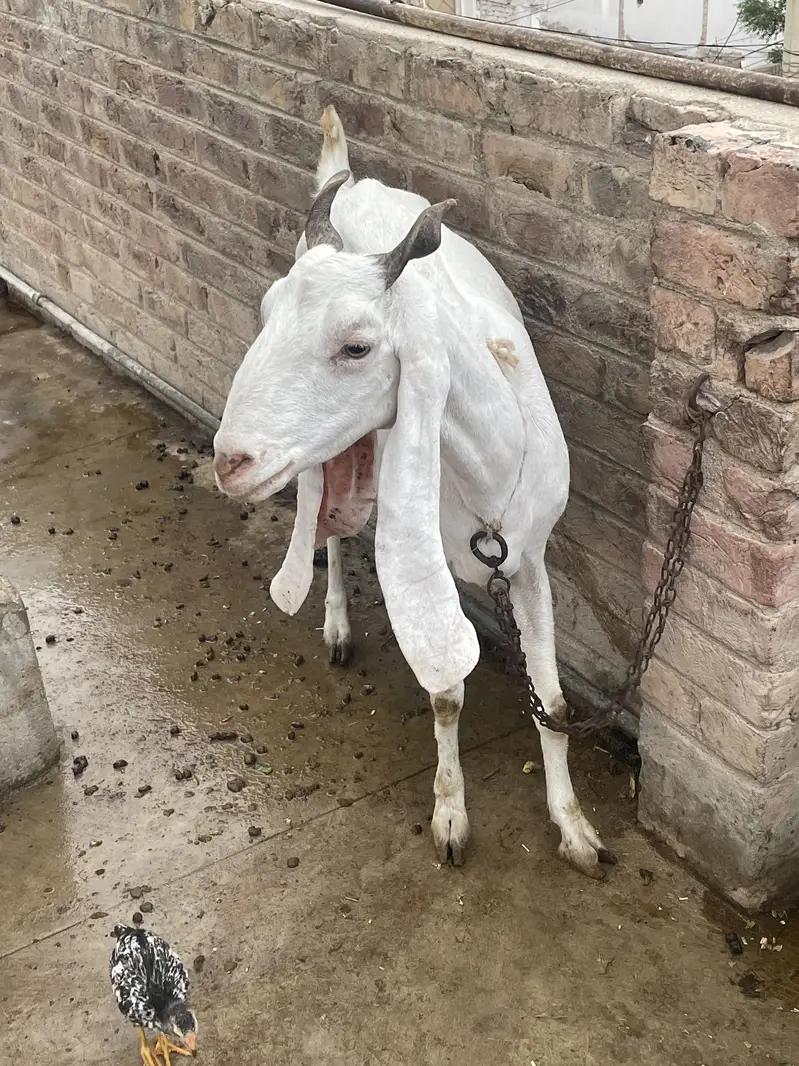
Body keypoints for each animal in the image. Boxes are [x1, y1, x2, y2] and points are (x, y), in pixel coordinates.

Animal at [213, 106, 615, 877]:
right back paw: (337, 625)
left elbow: (550, 697)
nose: (229, 461)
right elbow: (446, 696)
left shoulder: (530, 560)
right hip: (327, 452)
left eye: (357, 345)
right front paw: (450, 817)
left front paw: (575, 827)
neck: (487, 477)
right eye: (266, 311)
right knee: (333, 533)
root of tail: (354, 178)